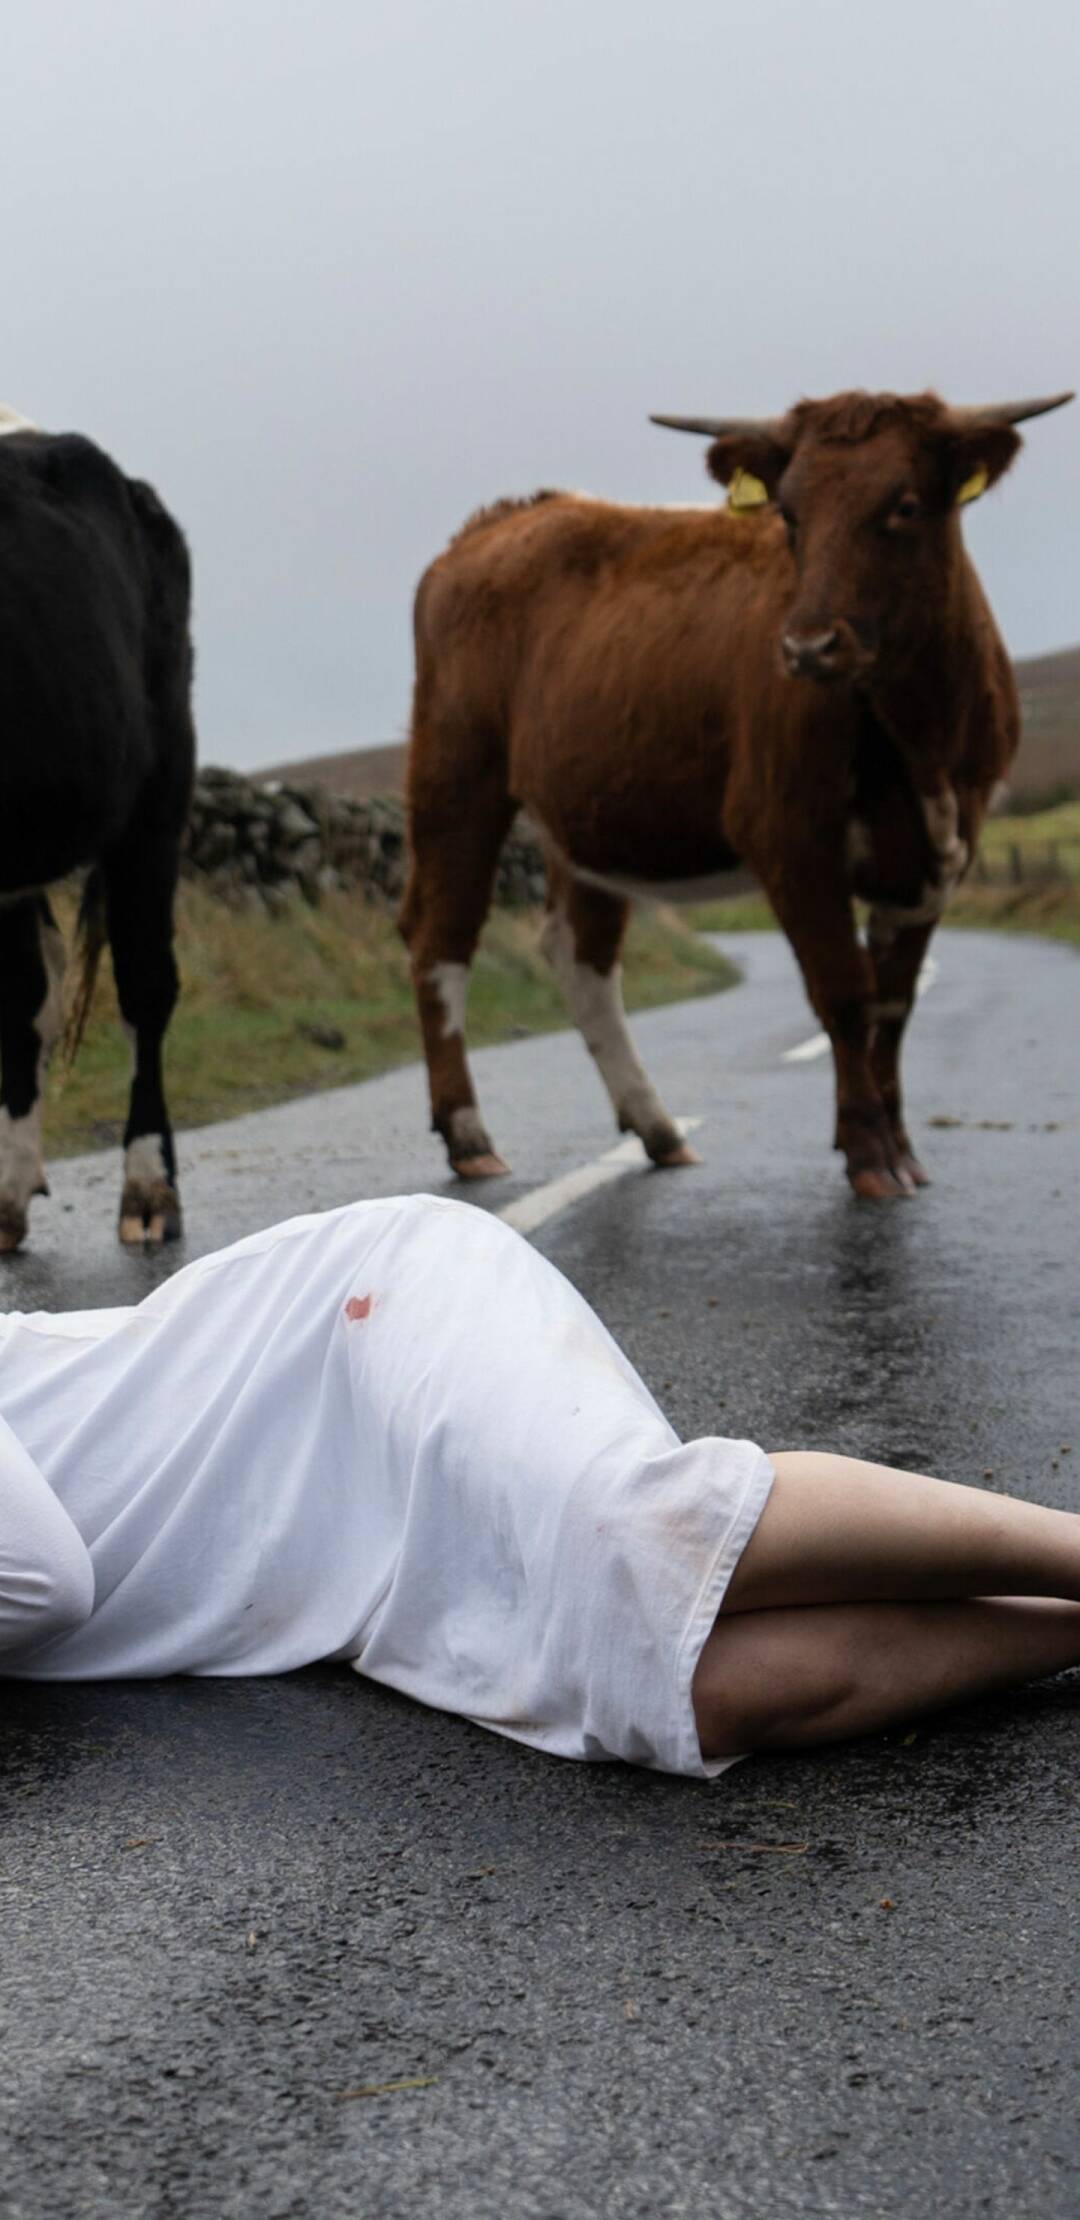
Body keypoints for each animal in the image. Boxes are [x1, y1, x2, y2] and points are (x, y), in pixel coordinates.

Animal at [397, 390, 1071, 1207]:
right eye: (789, 513)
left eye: (905, 505)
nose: (808, 647)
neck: (920, 736)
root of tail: (501, 521)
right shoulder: (788, 834)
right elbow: (845, 993)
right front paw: (869, 1153)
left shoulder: (940, 852)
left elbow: (893, 1004)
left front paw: (904, 1149)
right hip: (455, 781)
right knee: (443, 941)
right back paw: (469, 1136)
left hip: (587, 820)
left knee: (580, 958)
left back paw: (658, 1129)